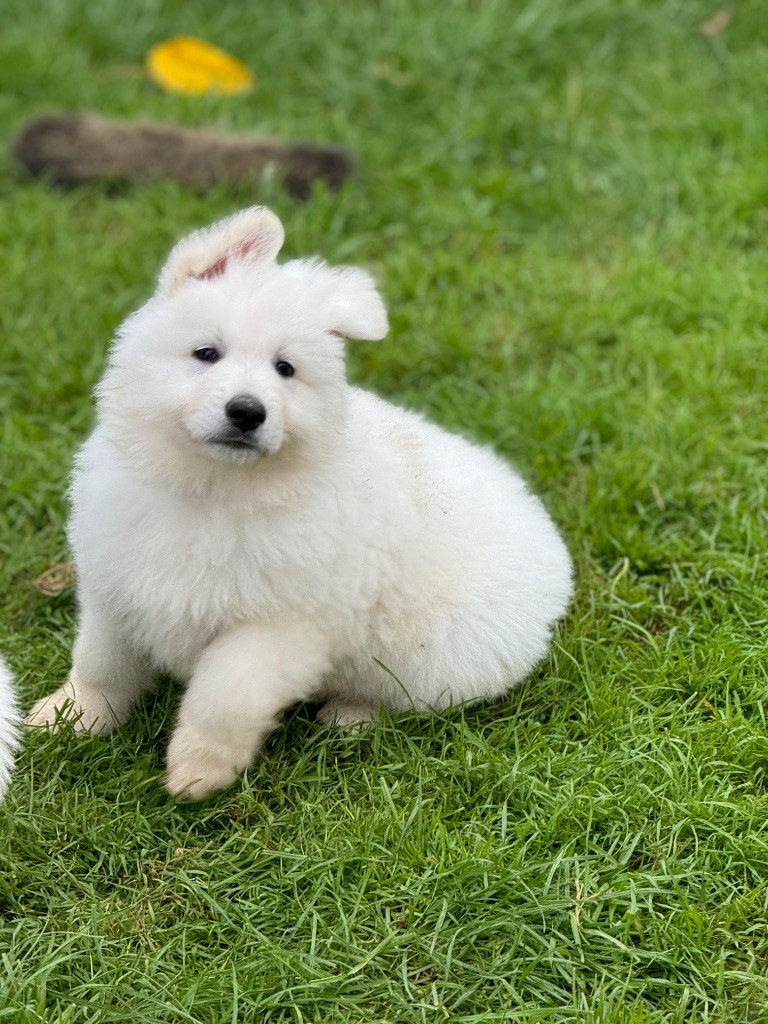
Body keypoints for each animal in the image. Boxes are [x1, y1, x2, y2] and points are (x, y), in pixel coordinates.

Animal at [28, 207, 573, 798]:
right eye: (206, 353)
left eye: (285, 369)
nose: (247, 411)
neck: (213, 489)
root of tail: (549, 546)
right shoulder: (116, 586)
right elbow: (99, 664)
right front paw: (69, 718)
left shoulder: (284, 628)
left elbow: (225, 693)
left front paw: (199, 770)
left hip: (440, 656)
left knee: (405, 698)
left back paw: (350, 716)